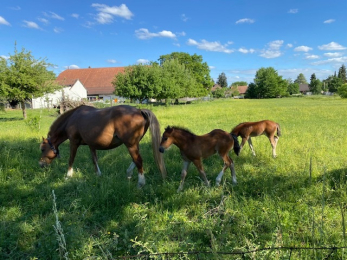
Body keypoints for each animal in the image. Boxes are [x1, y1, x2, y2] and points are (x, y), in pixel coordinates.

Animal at [39, 104, 167, 187]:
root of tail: (139, 110)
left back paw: (140, 183)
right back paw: (129, 174)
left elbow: (71, 159)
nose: (40, 164)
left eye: (42, 149)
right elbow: (94, 160)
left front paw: (68, 176)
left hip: (130, 144)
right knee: (135, 160)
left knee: (138, 160)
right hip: (135, 143)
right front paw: (98, 175)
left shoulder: (73, 142)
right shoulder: (91, 145)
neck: (72, 119)